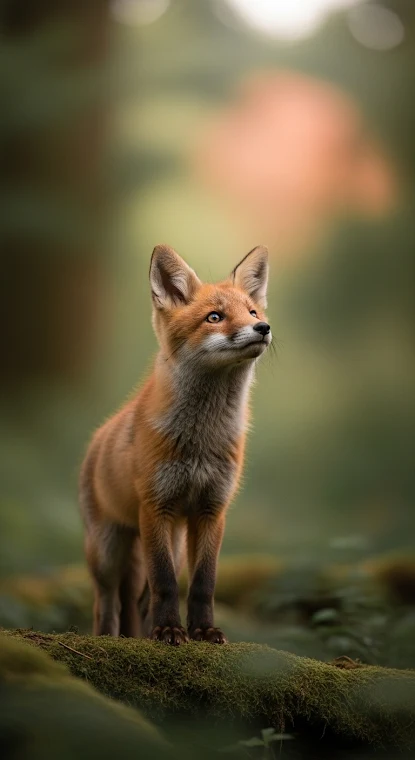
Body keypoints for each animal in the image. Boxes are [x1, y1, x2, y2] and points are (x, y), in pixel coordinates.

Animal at [79, 243, 271, 645]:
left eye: (252, 312)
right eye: (214, 317)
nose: (263, 328)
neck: (201, 441)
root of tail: (98, 436)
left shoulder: (211, 510)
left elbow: (203, 584)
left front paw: (203, 631)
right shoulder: (156, 506)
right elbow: (166, 583)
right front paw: (169, 631)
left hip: (176, 542)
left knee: (138, 600)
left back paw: (139, 636)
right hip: (107, 551)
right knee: (107, 602)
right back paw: (110, 638)